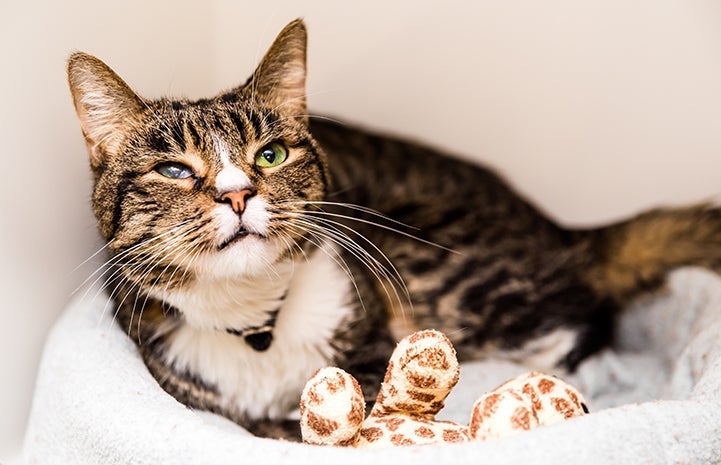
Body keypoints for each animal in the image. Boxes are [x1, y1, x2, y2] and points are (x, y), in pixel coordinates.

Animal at [67, 19, 720, 438]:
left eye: (271, 155)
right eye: (174, 170)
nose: (237, 193)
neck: (258, 327)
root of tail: (563, 233)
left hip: (417, 250)